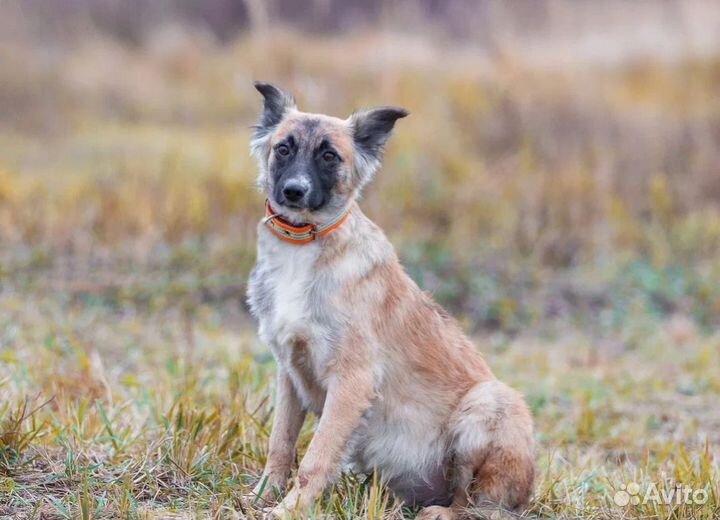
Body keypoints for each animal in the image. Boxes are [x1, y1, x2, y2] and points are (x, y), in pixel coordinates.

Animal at [248, 83, 536, 516]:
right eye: (283, 148)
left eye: (329, 155)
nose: (294, 191)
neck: (304, 248)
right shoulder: (289, 373)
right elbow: (280, 444)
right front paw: (264, 495)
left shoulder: (352, 381)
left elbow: (317, 458)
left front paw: (290, 509)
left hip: (489, 402)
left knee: (473, 505)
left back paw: (441, 512)